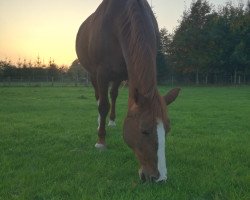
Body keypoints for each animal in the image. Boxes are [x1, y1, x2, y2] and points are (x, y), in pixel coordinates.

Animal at [75, 0, 181, 181]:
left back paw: (111, 121)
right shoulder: (101, 72)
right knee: (99, 98)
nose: (159, 178)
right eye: (144, 131)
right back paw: (100, 124)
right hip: (93, 74)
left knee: (113, 95)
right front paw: (101, 141)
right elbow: (103, 105)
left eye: (167, 130)